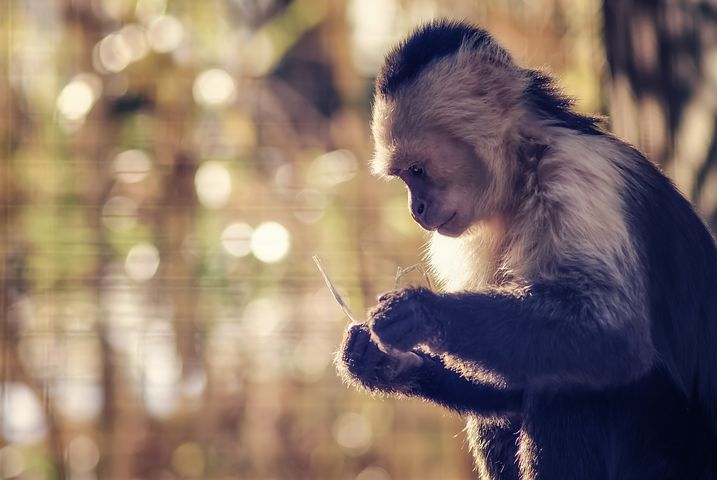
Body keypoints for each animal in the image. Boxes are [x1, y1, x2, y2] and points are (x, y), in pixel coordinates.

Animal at [338, 19, 716, 480]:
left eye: (417, 170)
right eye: (405, 178)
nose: (416, 210)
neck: (523, 168)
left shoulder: (574, 176)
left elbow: (612, 336)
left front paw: (420, 312)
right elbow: (511, 386)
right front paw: (381, 362)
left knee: (575, 388)